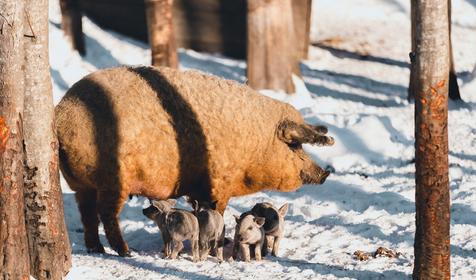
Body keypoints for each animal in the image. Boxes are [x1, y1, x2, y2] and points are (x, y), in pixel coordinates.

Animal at [55, 65, 334, 256]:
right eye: (294, 145)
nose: (325, 173)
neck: (253, 143)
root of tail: (61, 116)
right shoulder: (218, 183)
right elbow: (217, 213)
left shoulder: (199, 189)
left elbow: (199, 210)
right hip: (113, 179)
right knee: (106, 214)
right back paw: (125, 252)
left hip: (81, 184)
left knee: (87, 214)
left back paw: (97, 249)